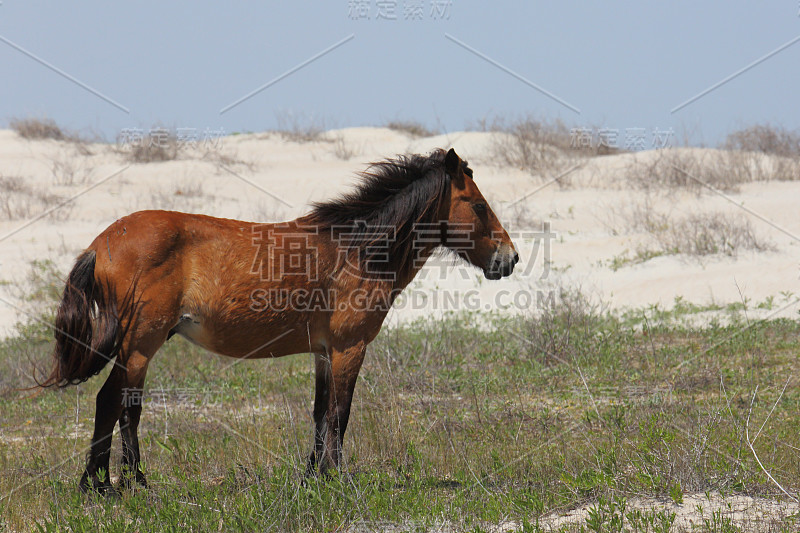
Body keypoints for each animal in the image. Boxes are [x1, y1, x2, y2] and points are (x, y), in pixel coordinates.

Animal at [40, 147, 520, 494]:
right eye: (478, 206)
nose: (509, 258)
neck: (358, 249)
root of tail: (101, 243)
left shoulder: (324, 353)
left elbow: (320, 413)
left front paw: (313, 477)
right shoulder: (349, 348)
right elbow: (340, 414)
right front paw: (338, 479)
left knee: (117, 406)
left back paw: (115, 484)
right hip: (140, 346)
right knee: (118, 405)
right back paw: (118, 485)